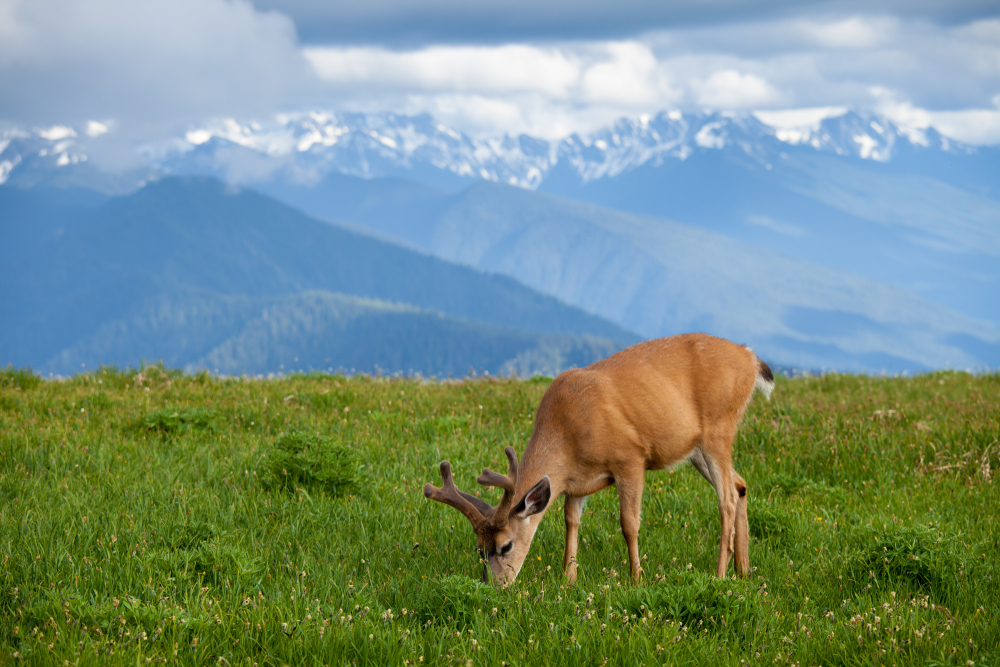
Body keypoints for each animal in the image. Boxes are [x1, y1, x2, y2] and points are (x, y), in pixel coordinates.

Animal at [422, 332, 772, 584]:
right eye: (478, 549)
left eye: (505, 545)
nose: (493, 587)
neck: (566, 433)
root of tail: (751, 358)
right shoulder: (575, 482)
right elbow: (571, 521)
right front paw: (569, 578)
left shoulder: (630, 457)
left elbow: (629, 523)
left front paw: (636, 578)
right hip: (696, 448)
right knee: (740, 484)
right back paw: (743, 569)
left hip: (719, 427)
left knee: (726, 498)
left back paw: (720, 573)